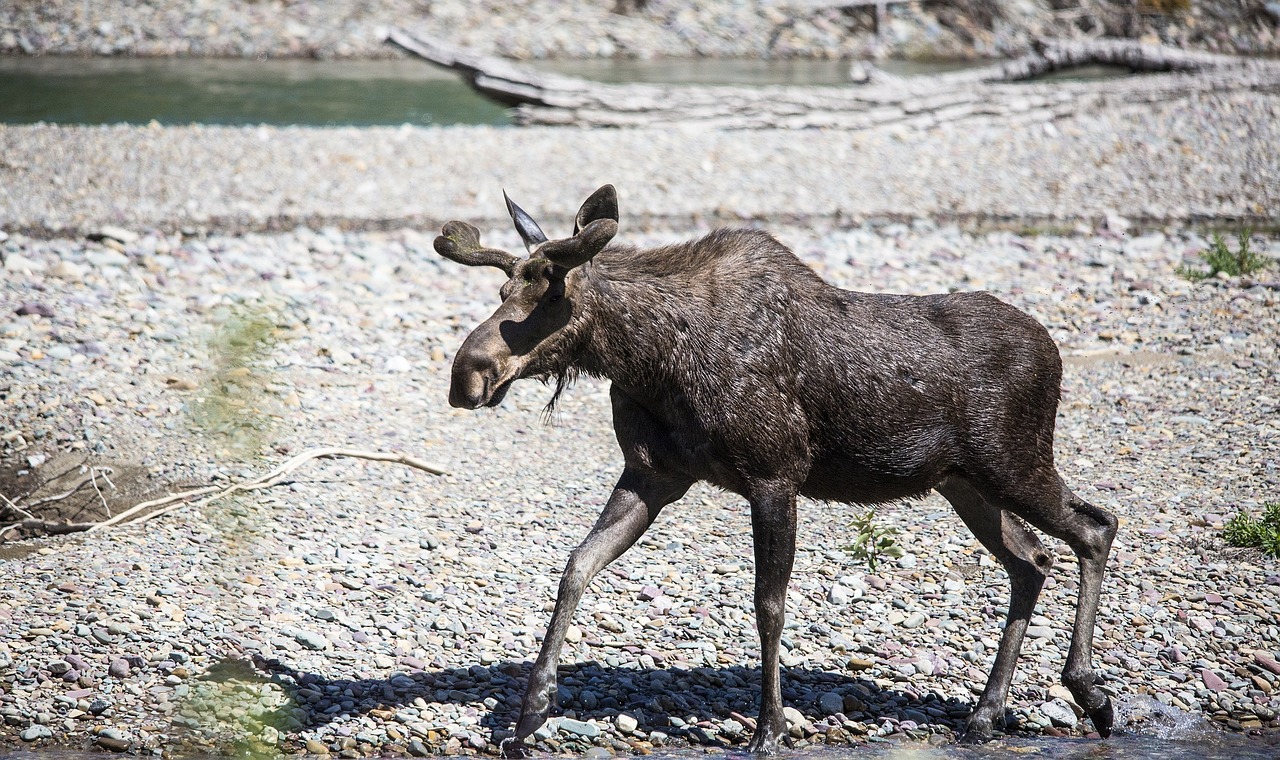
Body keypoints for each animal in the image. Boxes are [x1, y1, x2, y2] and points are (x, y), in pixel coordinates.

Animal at [435, 185, 1116, 752]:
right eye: (502, 293)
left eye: (555, 293)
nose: (467, 375)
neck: (648, 360)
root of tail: (1056, 352)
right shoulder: (652, 475)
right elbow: (576, 564)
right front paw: (531, 711)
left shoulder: (774, 474)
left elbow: (769, 604)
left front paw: (770, 728)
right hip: (963, 483)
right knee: (1032, 559)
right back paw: (985, 714)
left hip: (1012, 462)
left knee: (1095, 525)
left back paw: (1089, 691)